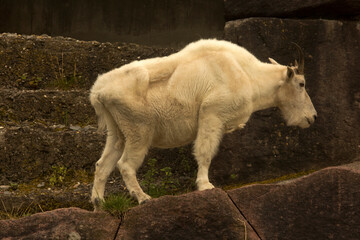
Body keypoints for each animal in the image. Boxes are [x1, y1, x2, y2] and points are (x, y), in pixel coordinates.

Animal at [88, 39, 316, 208]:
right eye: (301, 83)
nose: (312, 117)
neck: (247, 75)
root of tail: (98, 92)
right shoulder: (212, 115)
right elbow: (205, 152)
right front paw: (206, 185)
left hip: (117, 130)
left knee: (103, 163)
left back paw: (99, 203)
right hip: (139, 129)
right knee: (125, 164)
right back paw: (143, 198)